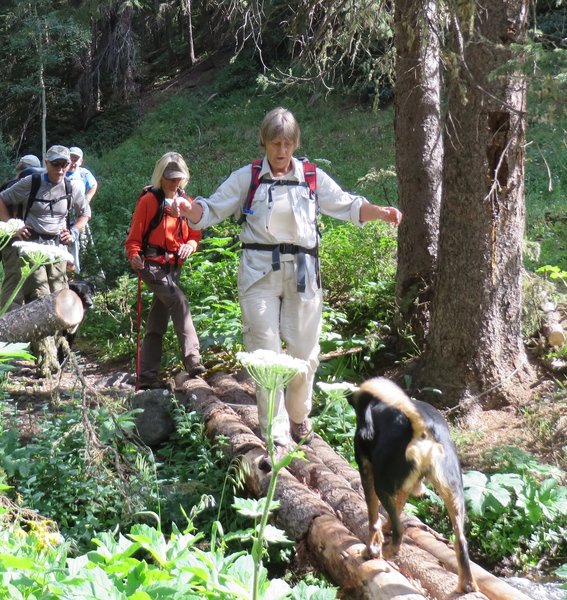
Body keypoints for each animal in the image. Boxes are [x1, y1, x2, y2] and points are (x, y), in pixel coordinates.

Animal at [350, 378, 480, 592]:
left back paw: (385, 552)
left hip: (381, 485)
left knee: (399, 530)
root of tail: (423, 426)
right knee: (461, 541)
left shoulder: (367, 471)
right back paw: (467, 585)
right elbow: (396, 508)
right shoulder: (404, 487)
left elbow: (373, 521)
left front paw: (371, 550)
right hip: (454, 495)